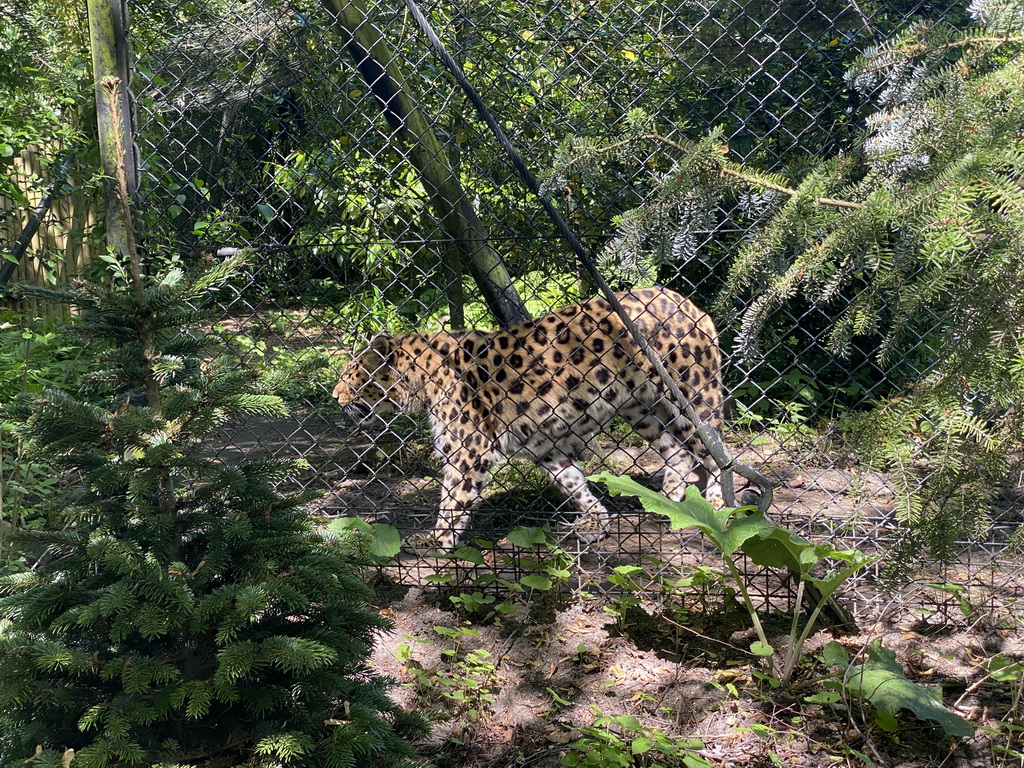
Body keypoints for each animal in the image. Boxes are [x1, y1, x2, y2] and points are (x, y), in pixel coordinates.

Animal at [333, 286, 720, 548]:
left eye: (352, 375)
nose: (335, 397)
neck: (422, 378)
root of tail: (688, 303)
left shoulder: (470, 449)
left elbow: (452, 501)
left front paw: (435, 541)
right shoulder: (547, 448)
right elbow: (574, 483)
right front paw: (596, 522)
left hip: (693, 395)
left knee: (716, 453)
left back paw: (717, 507)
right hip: (641, 408)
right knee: (678, 451)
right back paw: (666, 503)